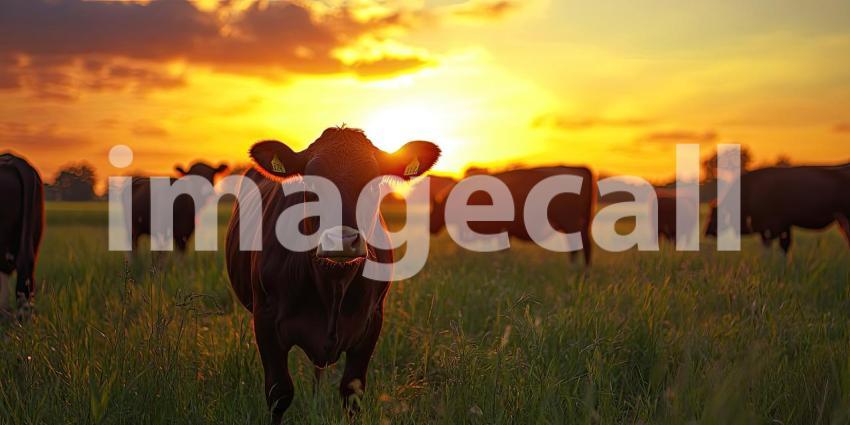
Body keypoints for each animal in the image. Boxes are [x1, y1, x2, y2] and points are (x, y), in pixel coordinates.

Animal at [224, 127, 440, 422]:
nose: (342, 240)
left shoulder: (372, 322)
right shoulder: (265, 319)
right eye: (312, 185)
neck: (332, 285)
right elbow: (279, 393)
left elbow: (352, 393)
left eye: (374, 184)